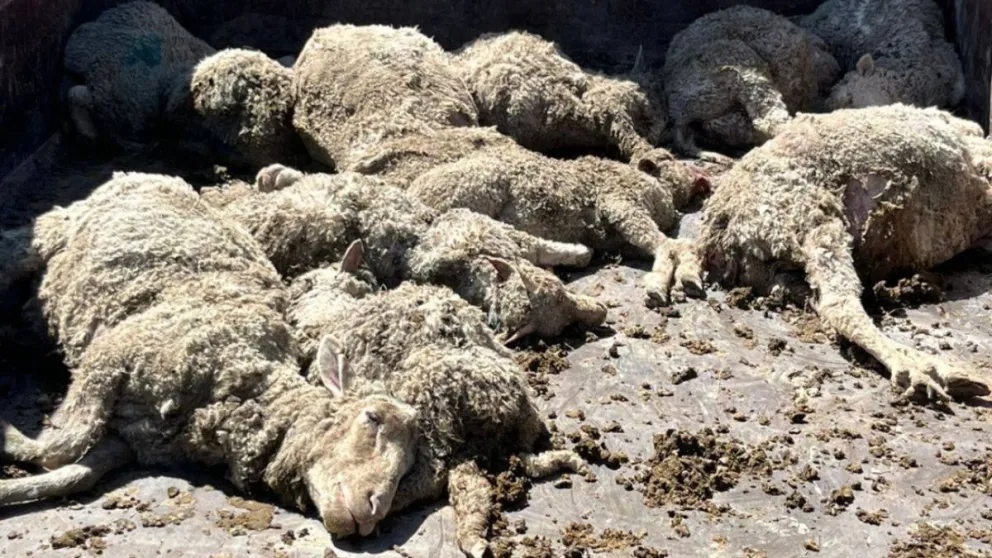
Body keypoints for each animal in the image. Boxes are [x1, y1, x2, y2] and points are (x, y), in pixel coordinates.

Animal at [0, 172, 426, 540]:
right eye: (371, 418)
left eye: (408, 467)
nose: (372, 511)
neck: (241, 381)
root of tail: (145, 176)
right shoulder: (112, 356)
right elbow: (59, 447)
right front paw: (8, 435)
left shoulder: (134, 438)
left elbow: (71, 472)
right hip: (54, 230)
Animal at [210, 165, 607, 341]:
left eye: (565, 321)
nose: (601, 312)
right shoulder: (474, 228)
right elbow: (537, 245)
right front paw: (579, 249)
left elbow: (543, 248)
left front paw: (579, 252)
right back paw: (272, 176)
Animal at [286, 256, 585, 557]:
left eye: (371, 417)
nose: (369, 508)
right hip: (460, 439)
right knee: (468, 484)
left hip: (432, 406)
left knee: (432, 476)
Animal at [407, 150, 709, 305]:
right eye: (669, 158)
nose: (701, 176)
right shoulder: (621, 201)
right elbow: (670, 246)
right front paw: (667, 283)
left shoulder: (621, 238)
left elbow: (672, 246)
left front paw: (685, 277)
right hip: (476, 194)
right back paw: (575, 254)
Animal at [685, 104, 992, 403]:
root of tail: (716, 235)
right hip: (811, 221)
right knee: (840, 305)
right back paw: (920, 371)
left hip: (778, 270)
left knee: (821, 301)